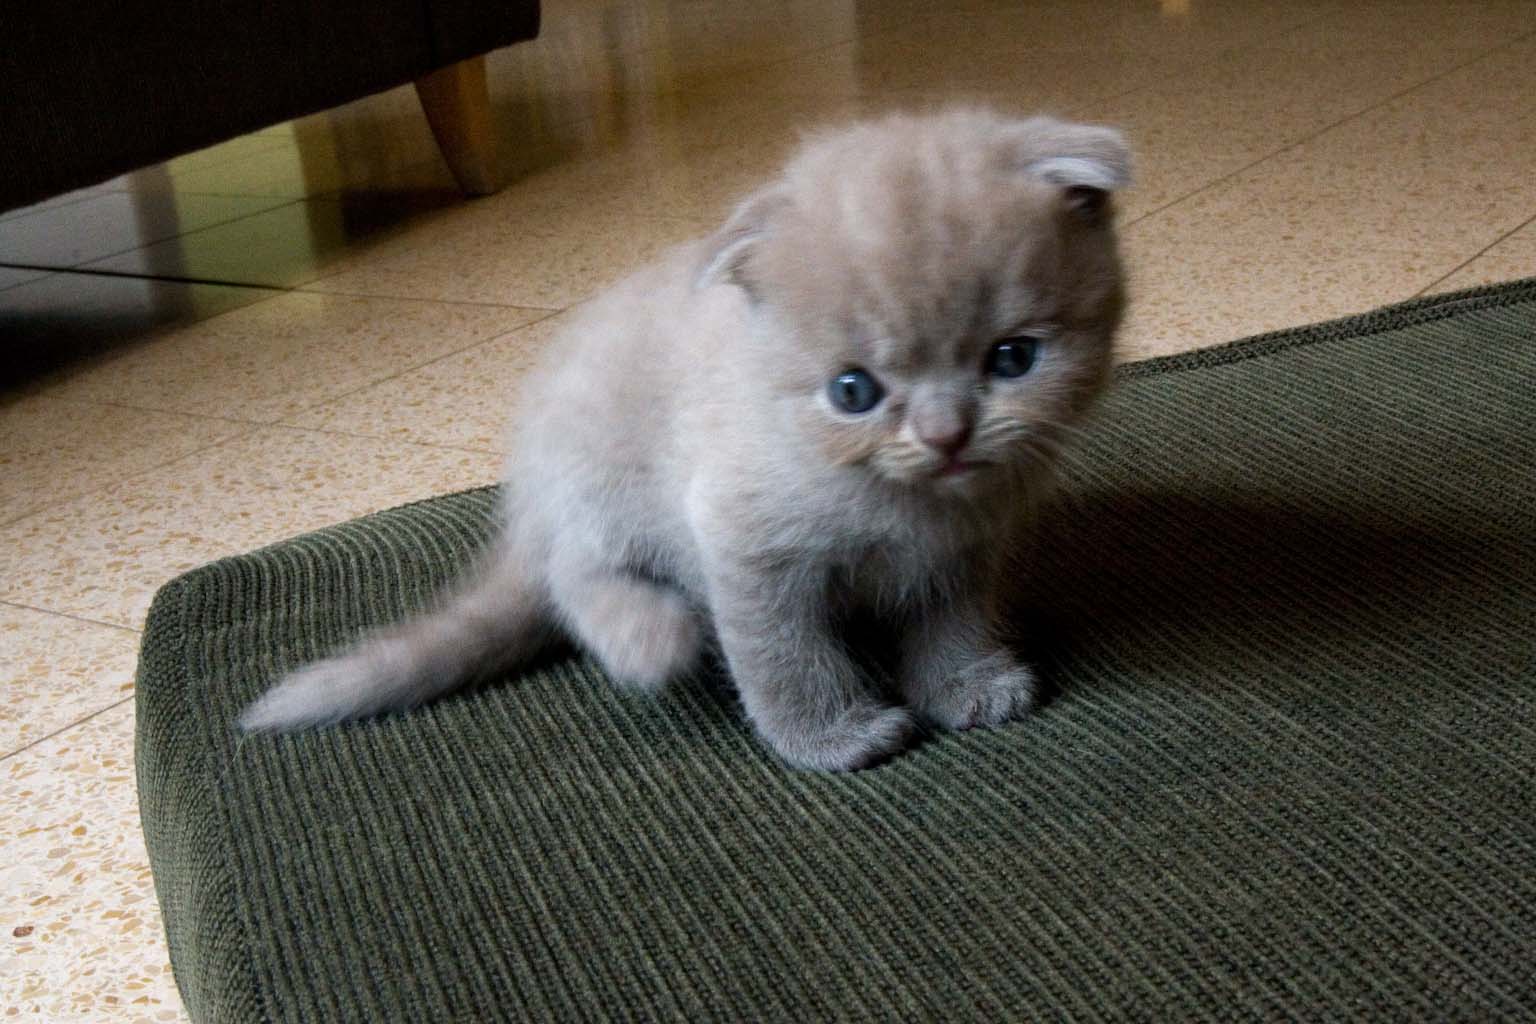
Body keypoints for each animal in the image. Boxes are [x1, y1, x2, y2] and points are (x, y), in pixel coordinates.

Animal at [239, 110, 1130, 767]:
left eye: (1013, 359)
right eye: (853, 392)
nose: (946, 435)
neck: (910, 506)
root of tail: (528, 495)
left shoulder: (965, 552)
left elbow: (954, 622)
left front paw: (967, 687)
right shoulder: (745, 540)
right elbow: (781, 655)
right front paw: (830, 737)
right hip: (596, 485)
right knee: (571, 575)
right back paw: (651, 635)